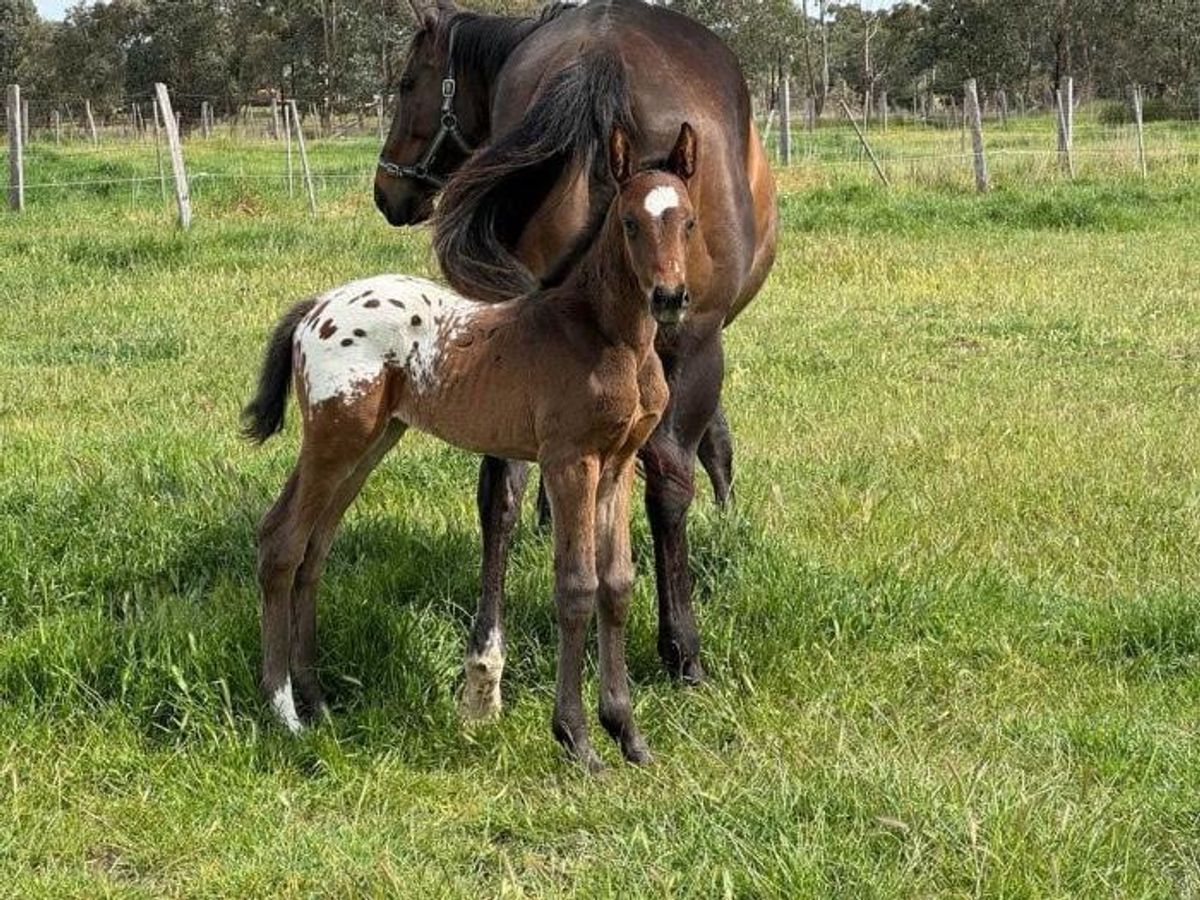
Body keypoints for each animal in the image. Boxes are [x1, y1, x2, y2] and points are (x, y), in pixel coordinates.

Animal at [243, 123, 701, 769]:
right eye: (630, 222)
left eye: (687, 220)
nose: (669, 297)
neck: (605, 337)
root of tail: (318, 308)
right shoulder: (570, 462)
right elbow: (576, 587)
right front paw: (578, 741)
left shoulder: (617, 463)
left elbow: (616, 586)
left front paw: (629, 736)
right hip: (335, 438)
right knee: (281, 541)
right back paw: (284, 711)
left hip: (370, 442)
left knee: (315, 547)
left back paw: (318, 700)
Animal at [374, 0, 778, 697]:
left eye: (405, 84)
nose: (386, 190)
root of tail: (603, 56)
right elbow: (711, 447)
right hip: (694, 342)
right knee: (669, 481)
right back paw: (682, 650)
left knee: (498, 490)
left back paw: (487, 650)